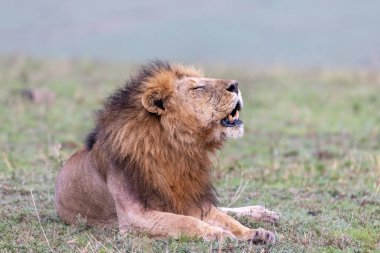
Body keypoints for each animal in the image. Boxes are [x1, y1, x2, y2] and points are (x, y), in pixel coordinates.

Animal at [54, 60, 280, 243]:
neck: (176, 148)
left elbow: (225, 219)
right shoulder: (133, 216)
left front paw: (253, 232)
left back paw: (263, 213)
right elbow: (186, 222)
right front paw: (217, 234)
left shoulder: (188, 197)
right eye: (198, 87)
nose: (236, 85)